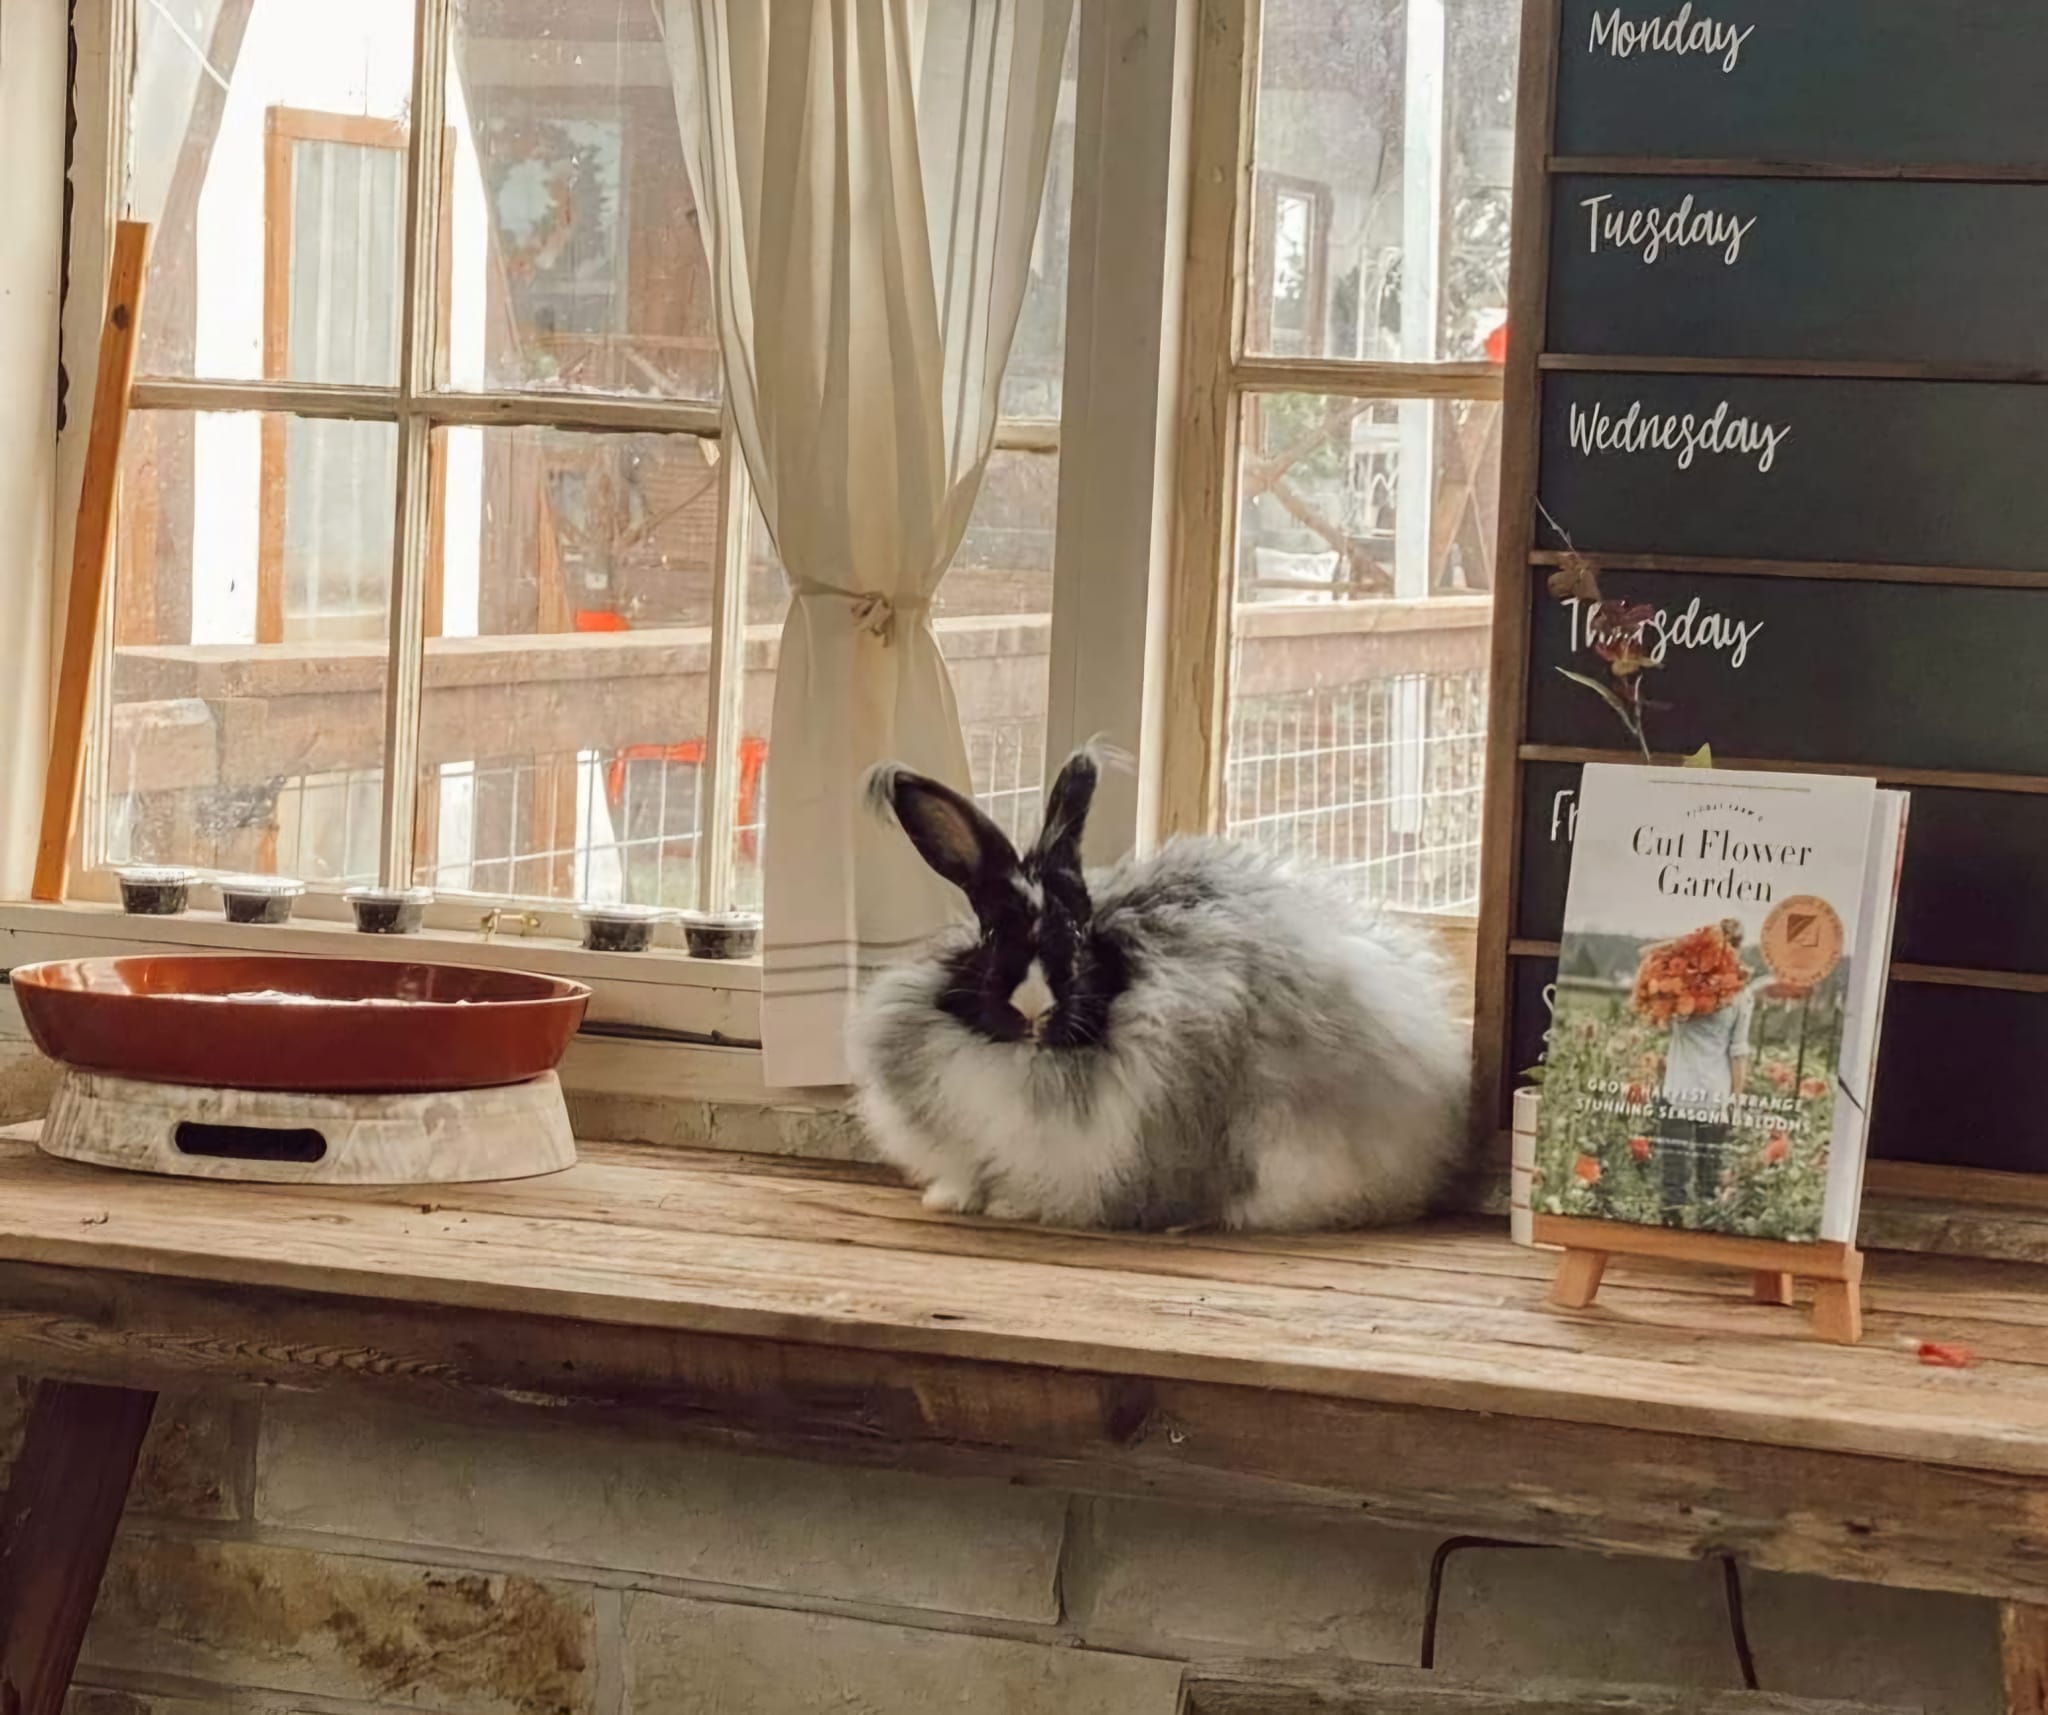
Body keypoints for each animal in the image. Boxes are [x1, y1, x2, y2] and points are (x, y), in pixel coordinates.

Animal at [849, 744, 1469, 1231]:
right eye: (996, 936)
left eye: (1077, 932)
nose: (1032, 1011)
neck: (1028, 1059)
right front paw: (953, 1200)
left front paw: (1011, 1207)